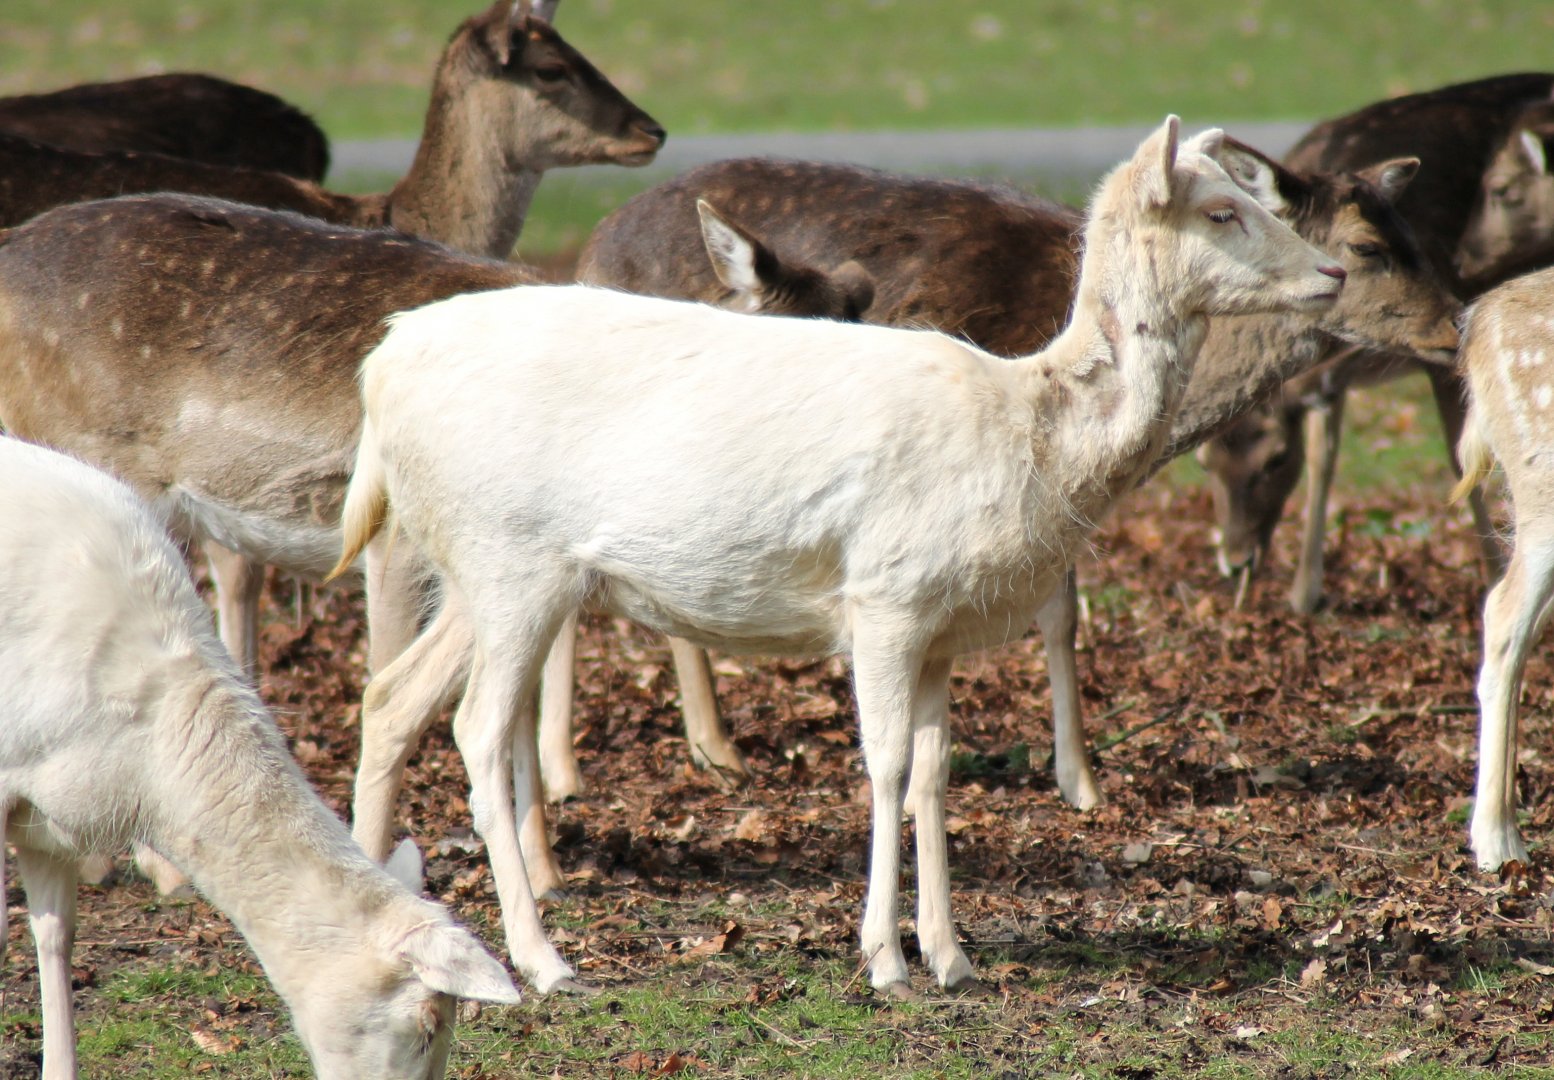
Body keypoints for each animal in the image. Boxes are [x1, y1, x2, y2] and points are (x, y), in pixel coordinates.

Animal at [327, 118, 1348, 995]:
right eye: (1221, 211)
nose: (1333, 269)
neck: (1031, 434)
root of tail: (379, 373)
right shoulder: (886, 597)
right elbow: (886, 765)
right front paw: (884, 959)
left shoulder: (940, 629)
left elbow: (935, 770)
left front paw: (952, 956)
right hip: (513, 563)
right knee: (475, 728)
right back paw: (542, 960)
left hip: (473, 571)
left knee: (391, 695)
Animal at [550, 138, 1456, 811]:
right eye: (1368, 248)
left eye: (1418, 238)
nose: (1455, 325)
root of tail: (587, 248)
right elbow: (1053, 612)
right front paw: (1079, 782)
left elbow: (1060, 614)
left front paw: (1076, 776)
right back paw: (626, 763)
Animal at [1197, 73, 1554, 615]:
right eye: (1202, 464)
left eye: (1276, 459)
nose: (1235, 562)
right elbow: (1324, 454)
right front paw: (1304, 594)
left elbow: (1461, 459)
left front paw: (1491, 576)